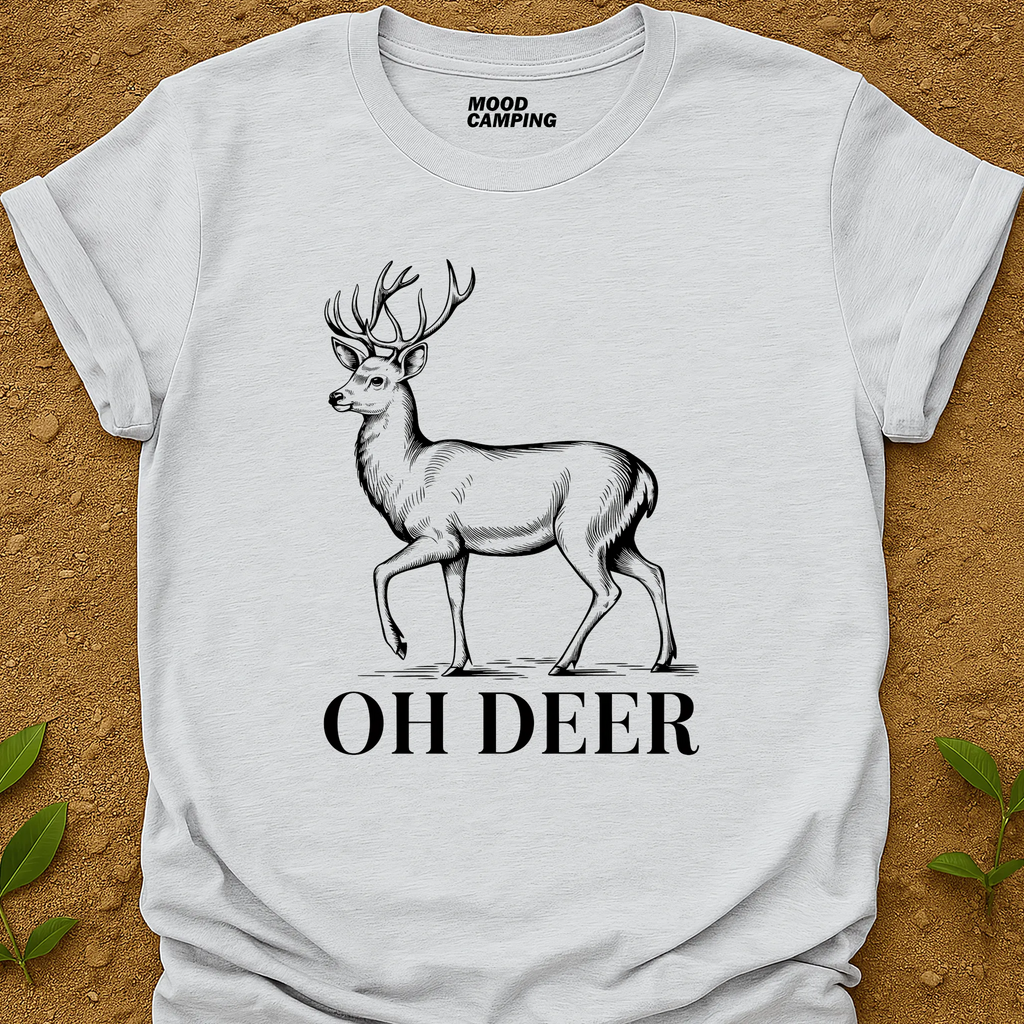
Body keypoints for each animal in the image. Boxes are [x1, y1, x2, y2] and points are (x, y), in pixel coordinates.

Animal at [326, 260, 677, 677]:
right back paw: (662, 658)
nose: (335, 396)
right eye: (353, 371)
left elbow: (380, 569)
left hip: (582, 528)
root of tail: (645, 476)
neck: (407, 474)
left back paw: (563, 662)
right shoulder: (458, 549)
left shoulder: (438, 535)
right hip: (617, 535)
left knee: (608, 590)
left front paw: (400, 645)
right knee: (654, 572)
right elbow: (456, 599)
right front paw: (456, 664)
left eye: (377, 379)